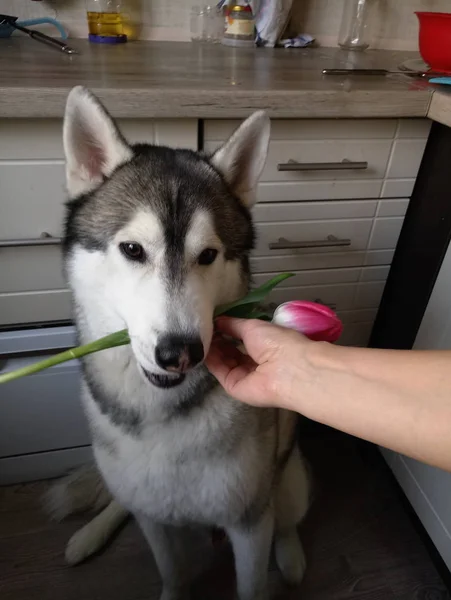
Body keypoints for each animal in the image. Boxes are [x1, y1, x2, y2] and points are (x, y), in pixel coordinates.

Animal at [49, 85, 310, 600]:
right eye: (132, 249)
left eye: (207, 255)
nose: (180, 353)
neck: (161, 417)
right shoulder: (153, 518)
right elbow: (170, 569)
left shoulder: (249, 523)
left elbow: (253, 582)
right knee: (123, 500)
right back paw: (90, 533)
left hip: (288, 479)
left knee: (287, 515)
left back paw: (291, 557)